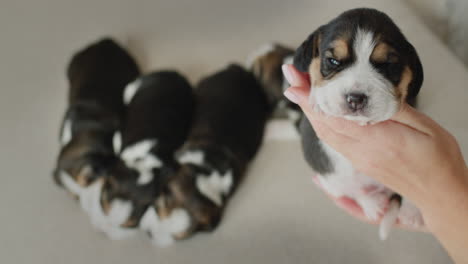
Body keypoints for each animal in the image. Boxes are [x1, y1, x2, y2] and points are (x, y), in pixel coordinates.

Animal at [85, 71, 195, 240]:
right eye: (103, 204)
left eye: (128, 225)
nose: (103, 230)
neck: (143, 164)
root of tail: (176, 74)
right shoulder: (118, 139)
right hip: (132, 88)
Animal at [294, 8, 426, 239]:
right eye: (333, 61)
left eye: (387, 65)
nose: (355, 99)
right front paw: (317, 99)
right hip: (331, 178)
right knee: (352, 189)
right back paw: (373, 204)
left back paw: (410, 211)